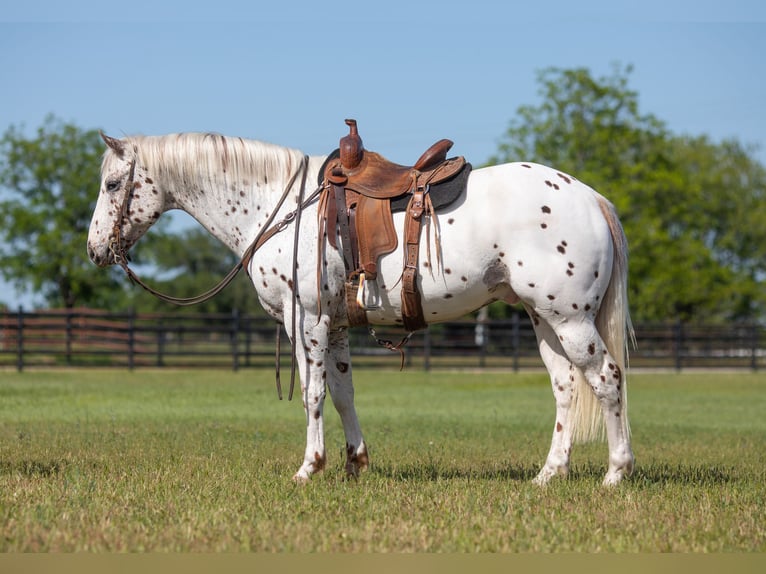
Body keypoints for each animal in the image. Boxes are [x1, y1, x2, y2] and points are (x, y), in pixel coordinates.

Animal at [87, 130, 636, 486]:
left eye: (112, 185)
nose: (95, 250)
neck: (278, 206)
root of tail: (592, 197)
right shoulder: (335, 327)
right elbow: (343, 393)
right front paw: (355, 462)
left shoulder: (305, 320)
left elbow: (312, 393)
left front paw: (309, 468)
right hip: (544, 319)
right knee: (566, 388)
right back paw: (549, 474)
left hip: (571, 319)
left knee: (607, 379)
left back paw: (616, 473)